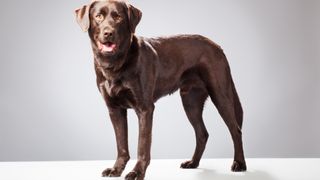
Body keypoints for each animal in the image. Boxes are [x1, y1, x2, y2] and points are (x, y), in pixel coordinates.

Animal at [75, 0, 248, 179]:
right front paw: (116, 170)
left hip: (220, 95)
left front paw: (137, 172)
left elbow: (142, 145)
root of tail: (217, 46)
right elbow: (121, 145)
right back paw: (193, 163)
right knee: (202, 134)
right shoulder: (115, 110)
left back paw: (239, 164)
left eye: (118, 17)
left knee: (236, 130)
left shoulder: (145, 109)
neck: (115, 65)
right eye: (98, 16)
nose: (108, 33)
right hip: (190, 102)